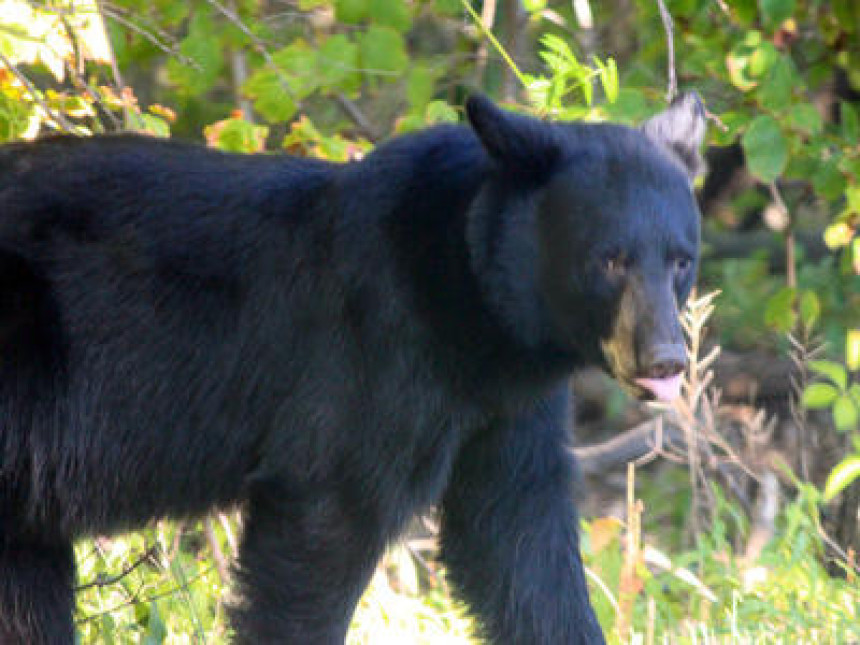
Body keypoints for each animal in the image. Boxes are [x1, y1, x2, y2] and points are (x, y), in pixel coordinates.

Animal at [0, 93, 704, 640]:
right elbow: (327, 520)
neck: (472, 307)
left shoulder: (510, 407)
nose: (665, 358)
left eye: (680, 259)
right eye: (609, 259)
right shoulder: (370, 357)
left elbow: (519, 543)